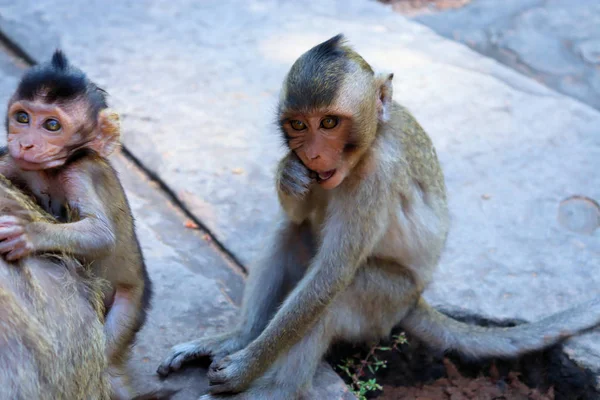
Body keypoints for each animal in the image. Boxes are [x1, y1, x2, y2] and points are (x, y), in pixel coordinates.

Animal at [0, 50, 152, 400]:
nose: (25, 143)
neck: (50, 171)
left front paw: (29, 235)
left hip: (129, 305)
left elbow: (101, 235)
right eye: (22, 117)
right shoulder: (13, 162)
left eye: (52, 125)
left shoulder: (79, 171)